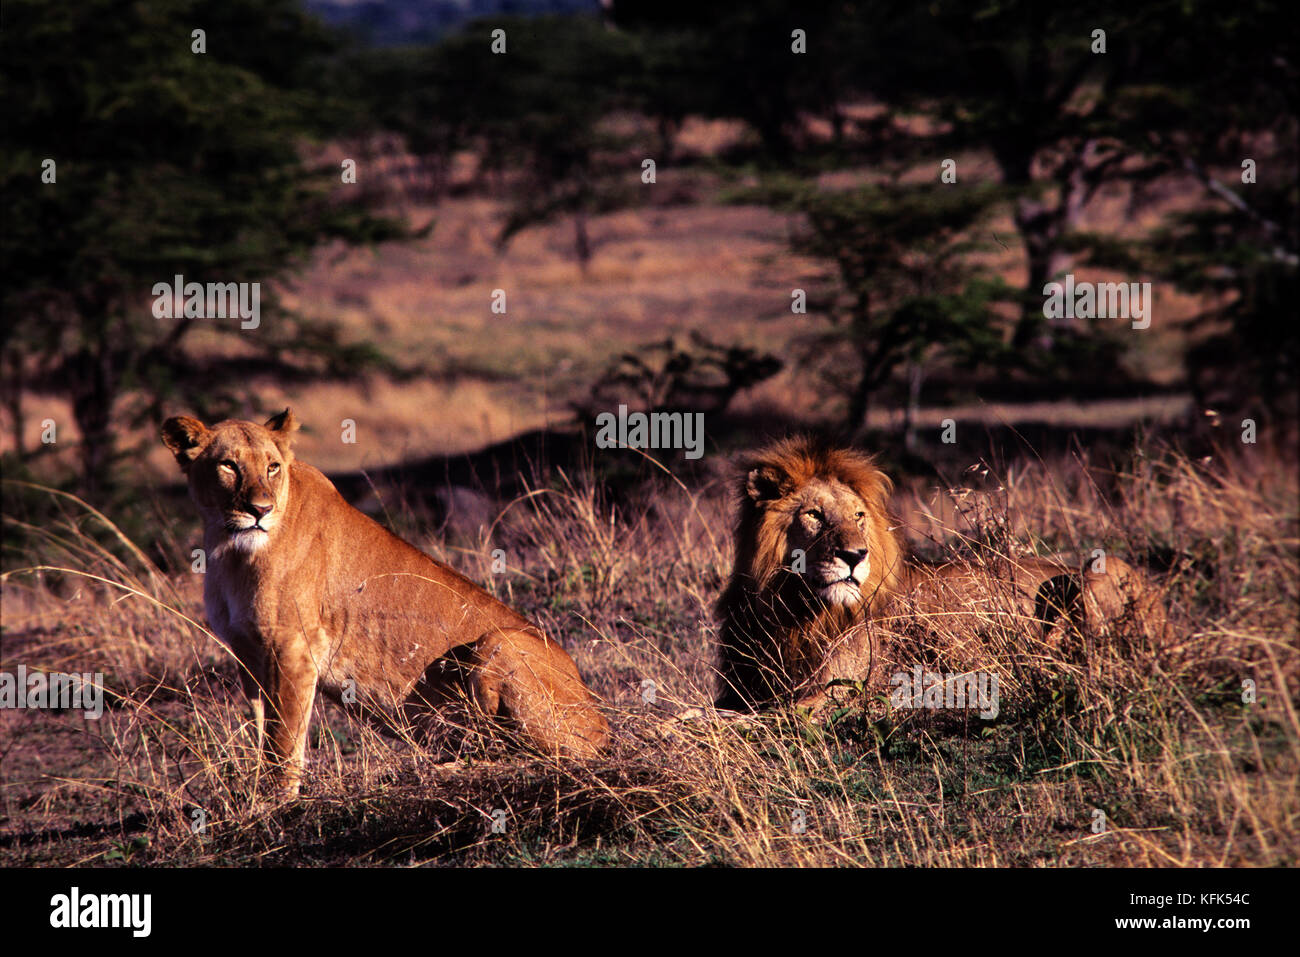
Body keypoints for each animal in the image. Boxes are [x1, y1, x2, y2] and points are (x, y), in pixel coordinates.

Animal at [162, 410, 609, 797]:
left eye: (272, 467)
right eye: (228, 466)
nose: (260, 510)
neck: (229, 549)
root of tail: (602, 723)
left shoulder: (294, 649)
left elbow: (284, 741)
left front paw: (276, 802)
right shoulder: (248, 654)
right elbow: (261, 732)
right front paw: (255, 794)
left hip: (500, 641)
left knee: (525, 756)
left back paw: (442, 770)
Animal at [714, 435, 1168, 713]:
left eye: (858, 516)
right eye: (814, 515)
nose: (855, 555)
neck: (792, 607)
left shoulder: (843, 690)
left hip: (1092, 571)